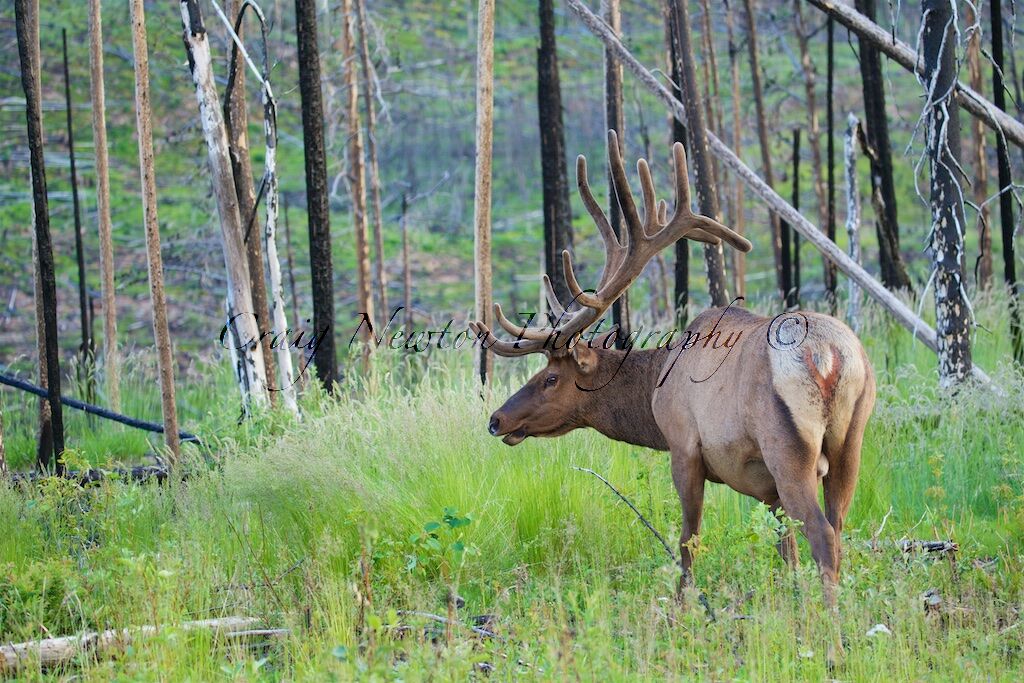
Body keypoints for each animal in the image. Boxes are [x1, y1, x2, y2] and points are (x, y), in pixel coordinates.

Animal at [470, 131, 876, 614]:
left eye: (550, 378)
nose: (496, 419)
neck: (653, 390)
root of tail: (831, 356)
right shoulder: (766, 488)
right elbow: (784, 548)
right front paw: (788, 599)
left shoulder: (683, 444)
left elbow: (688, 539)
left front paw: (682, 606)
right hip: (851, 441)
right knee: (838, 527)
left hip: (788, 447)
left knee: (821, 534)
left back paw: (830, 621)